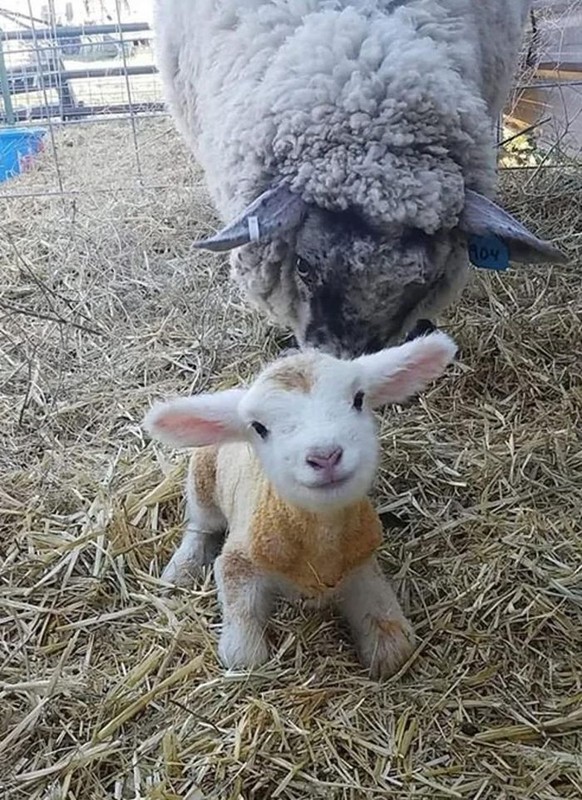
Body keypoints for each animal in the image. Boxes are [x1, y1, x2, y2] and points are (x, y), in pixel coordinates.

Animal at [144, 330, 458, 676]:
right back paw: (181, 569)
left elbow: (395, 643)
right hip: (202, 479)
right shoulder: (239, 561)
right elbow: (243, 655)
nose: (325, 456)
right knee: (200, 525)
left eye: (358, 399)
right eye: (259, 427)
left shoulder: (361, 563)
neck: (320, 543)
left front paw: (385, 648)